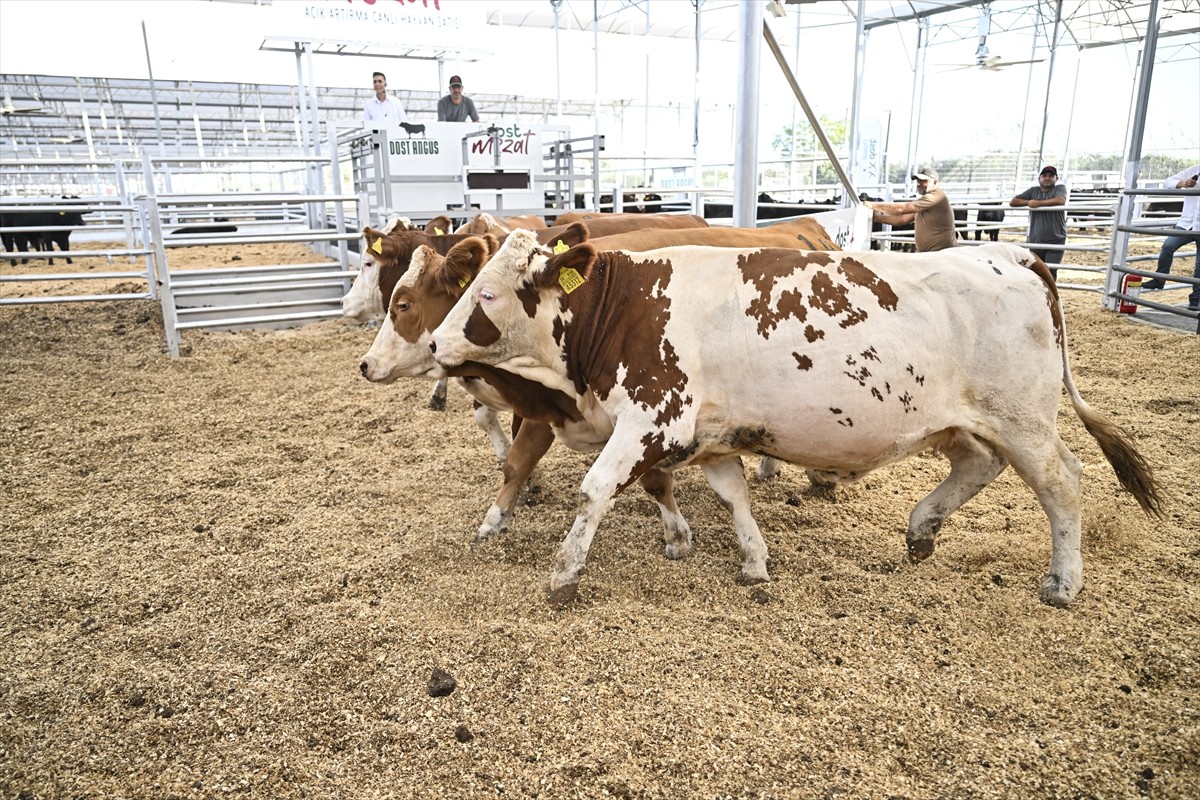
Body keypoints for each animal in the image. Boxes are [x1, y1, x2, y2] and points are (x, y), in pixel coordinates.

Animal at [424, 231, 1161, 606]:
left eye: (486, 294)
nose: (433, 344)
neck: (628, 305)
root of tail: (1008, 253)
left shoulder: (655, 417)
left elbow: (594, 490)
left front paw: (564, 573)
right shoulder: (711, 433)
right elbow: (733, 495)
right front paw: (753, 561)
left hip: (1025, 418)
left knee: (1061, 483)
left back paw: (1063, 582)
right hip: (963, 420)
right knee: (978, 465)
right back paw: (921, 529)